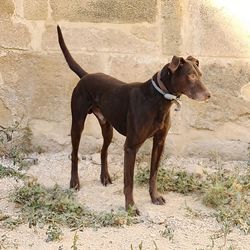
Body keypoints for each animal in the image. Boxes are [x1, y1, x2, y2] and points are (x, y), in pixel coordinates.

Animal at [57, 25, 211, 214]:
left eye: (200, 74)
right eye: (191, 76)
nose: (209, 95)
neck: (158, 98)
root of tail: (86, 76)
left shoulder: (159, 142)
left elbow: (153, 174)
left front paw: (154, 197)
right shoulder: (130, 147)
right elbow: (129, 182)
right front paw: (130, 206)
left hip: (107, 128)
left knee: (103, 151)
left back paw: (104, 177)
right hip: (78, 122)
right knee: (74, 153)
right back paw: (74, 182)